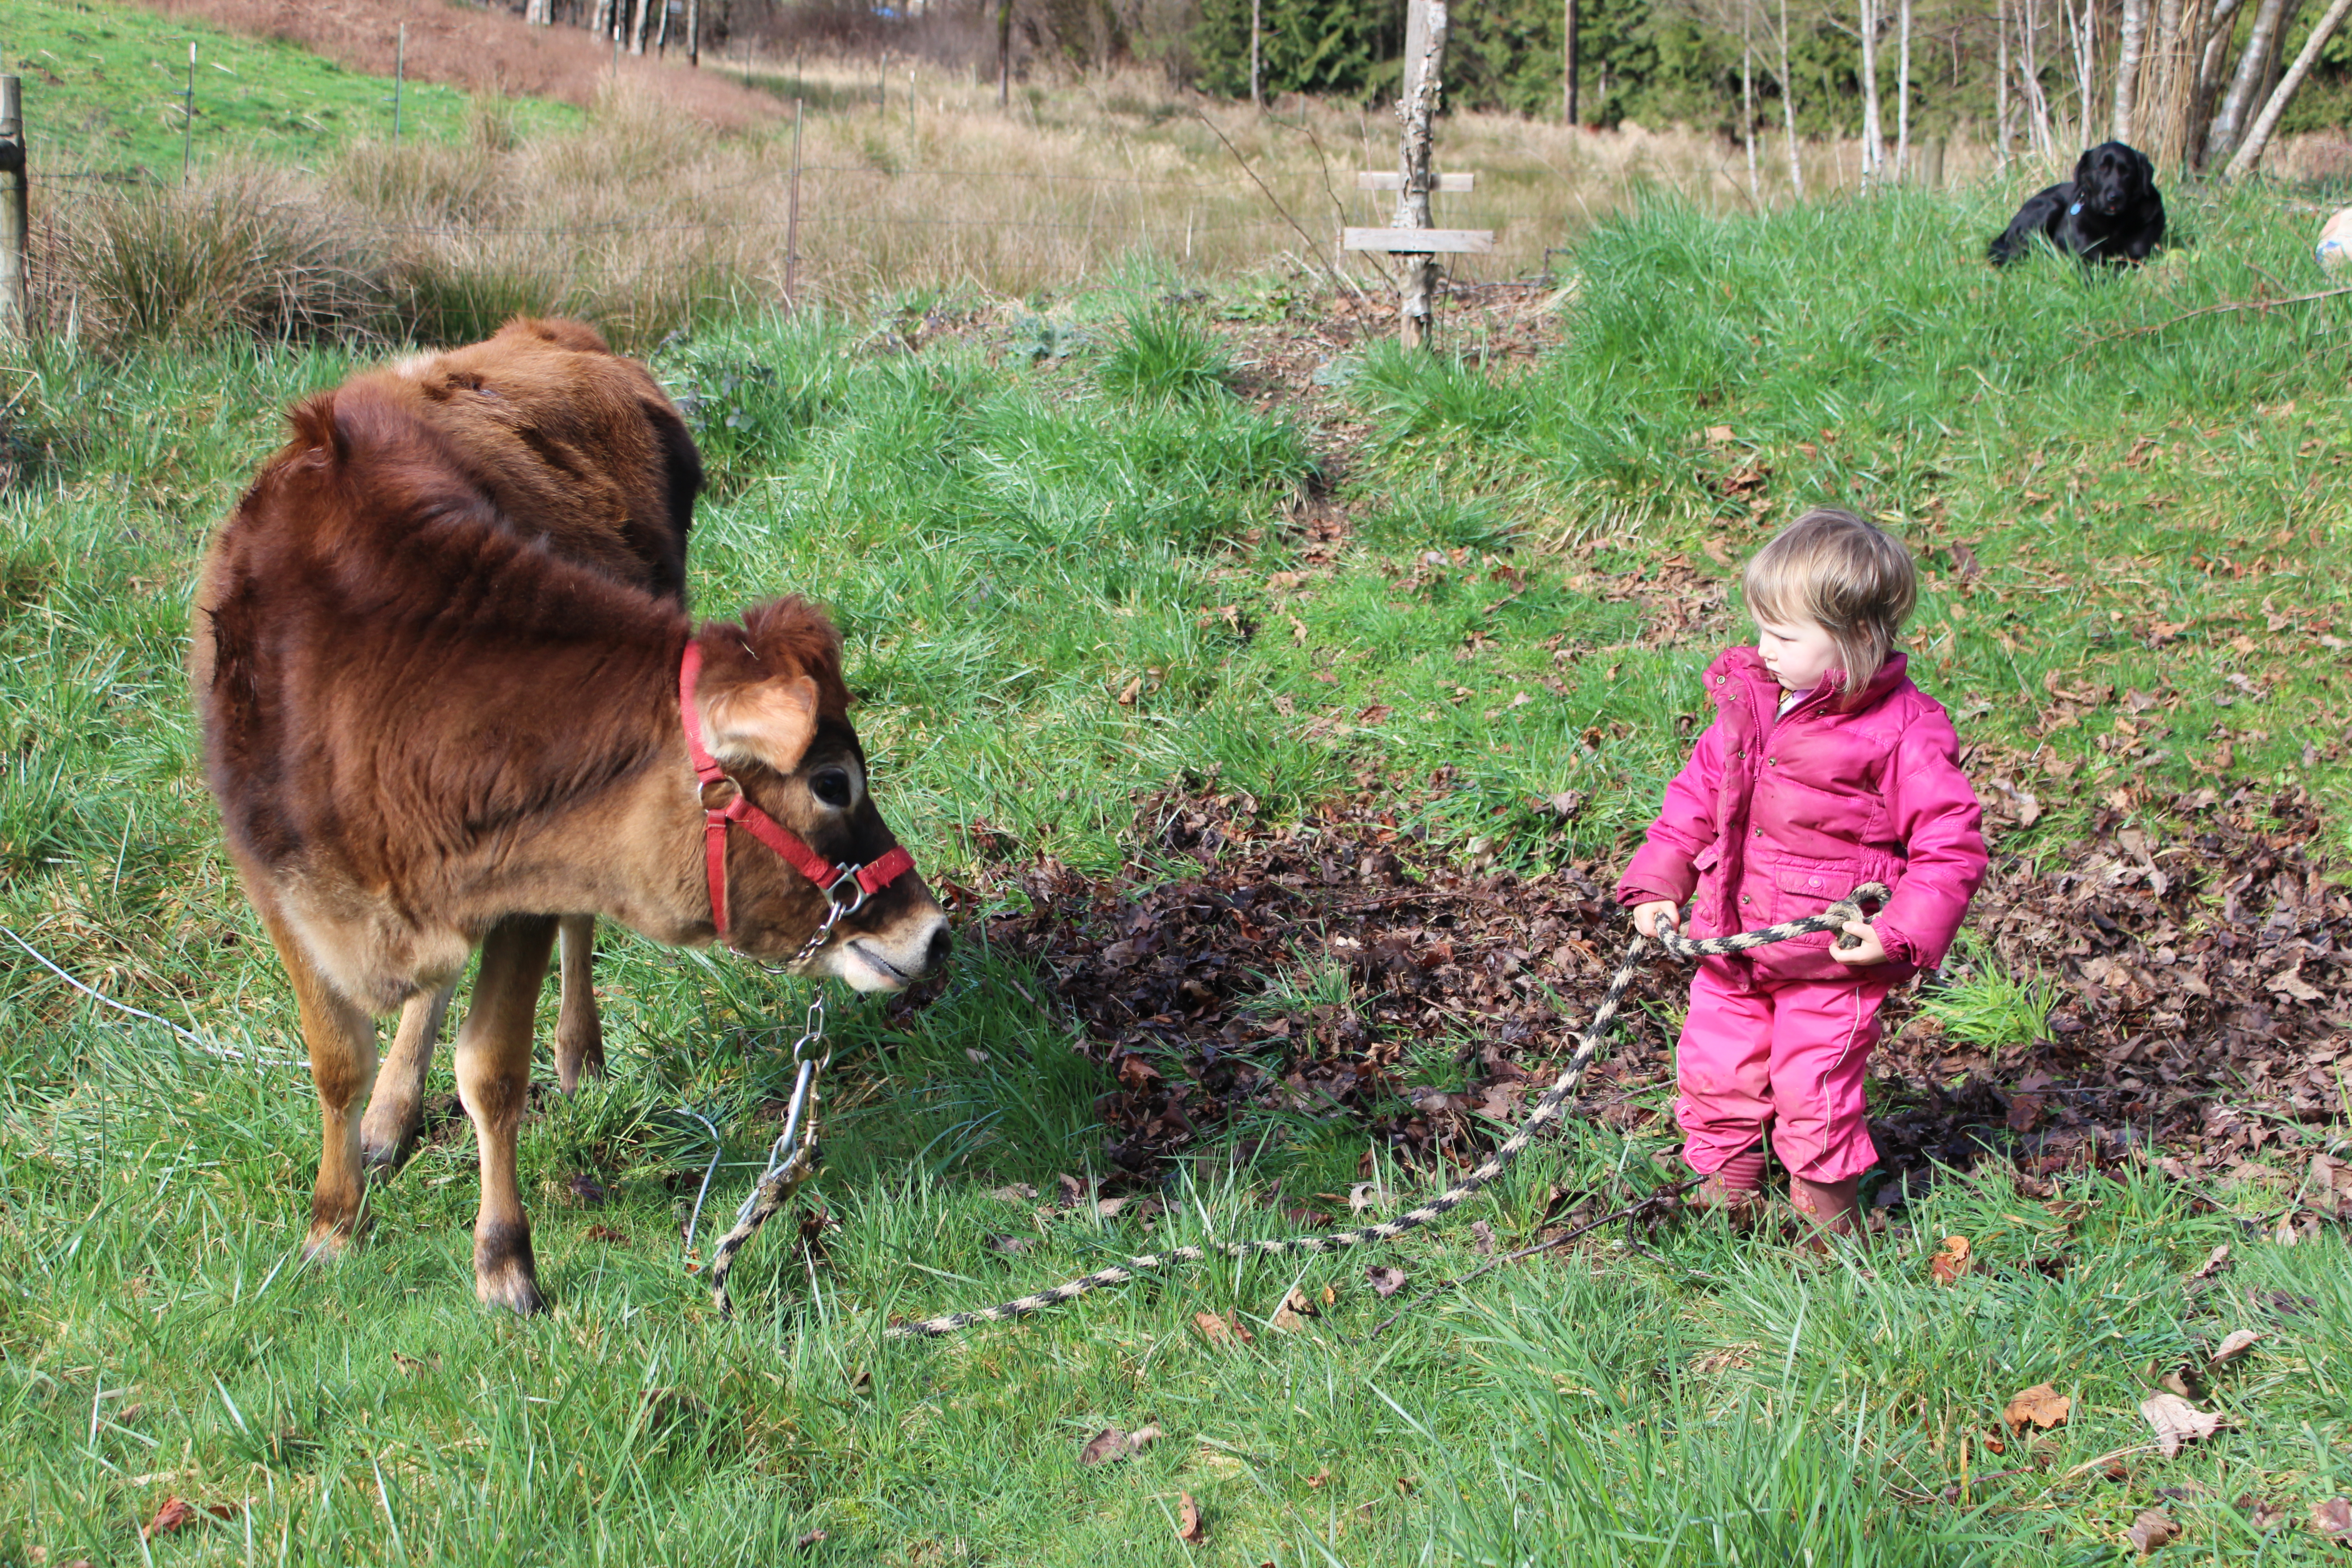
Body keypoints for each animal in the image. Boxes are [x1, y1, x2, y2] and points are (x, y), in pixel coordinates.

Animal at [189, 323, 950, 1313]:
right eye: (832, 783)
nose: (933, 933)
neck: (376, 692)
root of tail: (545, 332)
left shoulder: (527, 878)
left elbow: (492, 1071)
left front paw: (504, 1259)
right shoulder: (278, 883)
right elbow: (335, 1059)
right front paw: (332, 1222)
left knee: (573, 937)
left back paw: (578, 1057)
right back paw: (392, 1114)